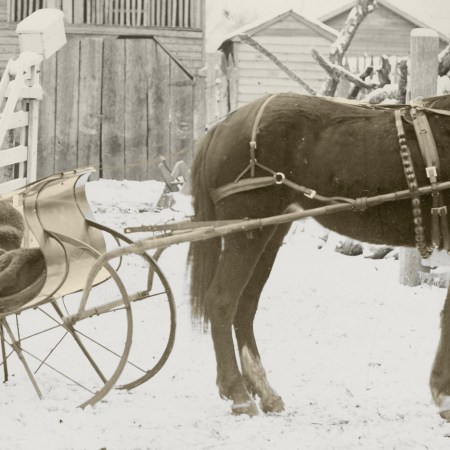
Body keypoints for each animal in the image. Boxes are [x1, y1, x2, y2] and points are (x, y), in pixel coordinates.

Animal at [188, 92, 450, 417]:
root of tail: (224, 125)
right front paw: (443, 393)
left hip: (270, 232)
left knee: (245, 306)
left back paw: (265, 391)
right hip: (246, 233)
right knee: (222, 301)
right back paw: (238, 394)